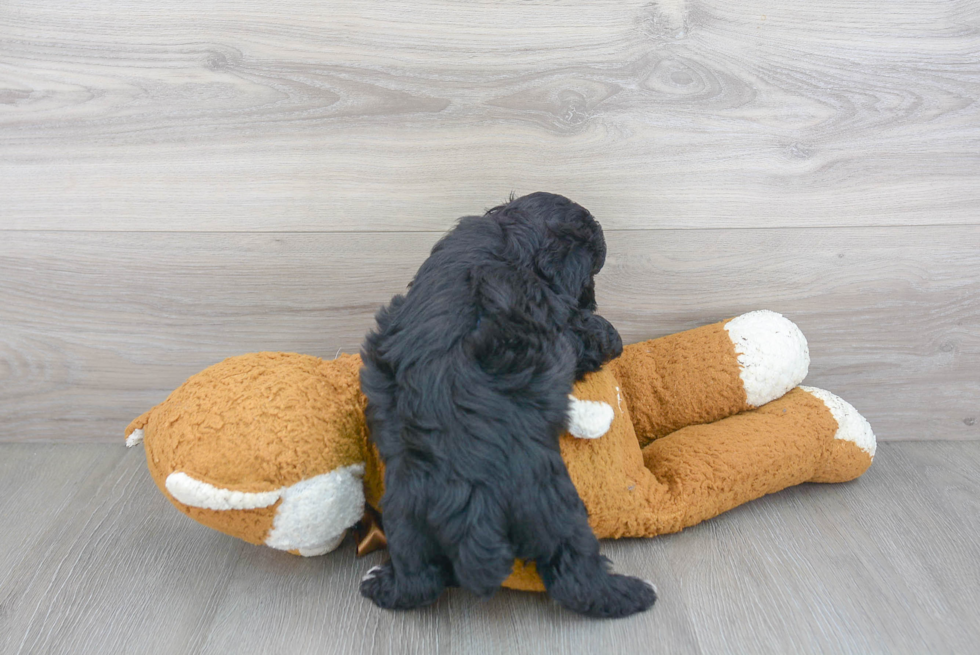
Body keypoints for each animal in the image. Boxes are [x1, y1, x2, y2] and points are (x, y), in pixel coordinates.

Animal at [360, 192, 660, 616]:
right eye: (592, 270)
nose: (592, 299)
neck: (514, 233)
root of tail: (470, 498)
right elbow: (586, 335)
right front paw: (606, 333)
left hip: (405, 510)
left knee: (418, 576)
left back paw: (381, 584)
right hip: (549, 505)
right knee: (575, 575)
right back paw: (633, 593)